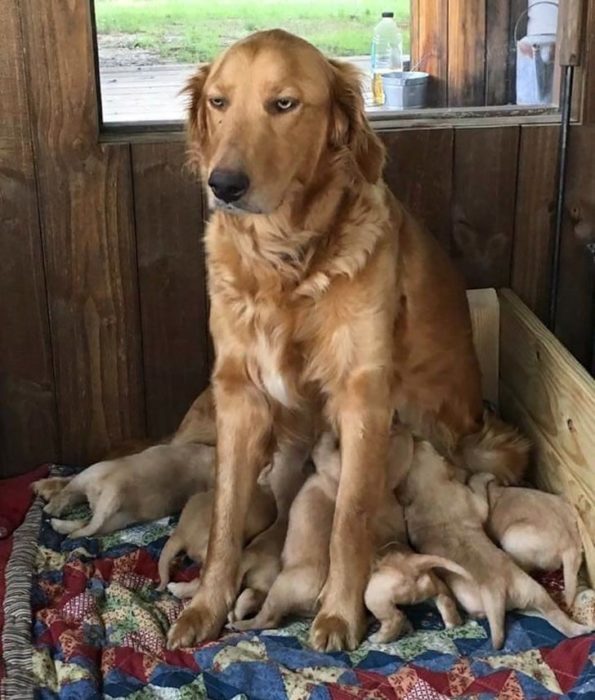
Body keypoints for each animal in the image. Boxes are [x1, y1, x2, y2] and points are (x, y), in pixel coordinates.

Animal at [33, 446, 217, 540]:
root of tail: (117, 488)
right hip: (113, 512)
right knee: (83, 518)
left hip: (95, 486)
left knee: (74, 505)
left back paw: (54, 517)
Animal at [168, 27, 532, 652]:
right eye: (219, 102)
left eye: (283, 104)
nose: (224, 185)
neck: (286, 260)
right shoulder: (238, 392)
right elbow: (223, 516)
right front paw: (205, 607)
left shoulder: (363, 396)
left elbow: (349, 517)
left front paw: (339, 612)